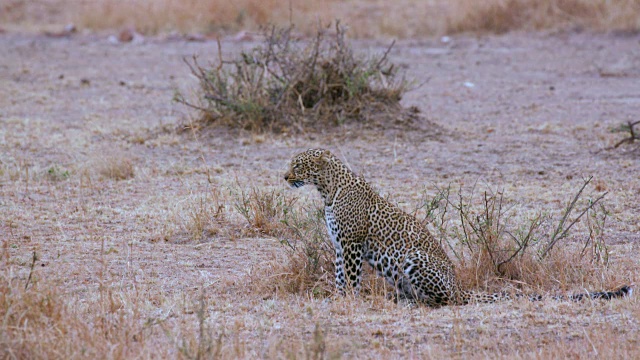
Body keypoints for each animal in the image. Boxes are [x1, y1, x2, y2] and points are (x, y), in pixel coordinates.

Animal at [284, 148, 632, 308]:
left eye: (297, 165)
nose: (284, 177)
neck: (326, 190)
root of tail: (460, 286)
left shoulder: (353, 244)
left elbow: (352, 277)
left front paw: (349, 301)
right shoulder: (340, 246)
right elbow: (340, 275)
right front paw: (337, 298)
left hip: (414, 259)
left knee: (447, 301)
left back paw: (416, 302)